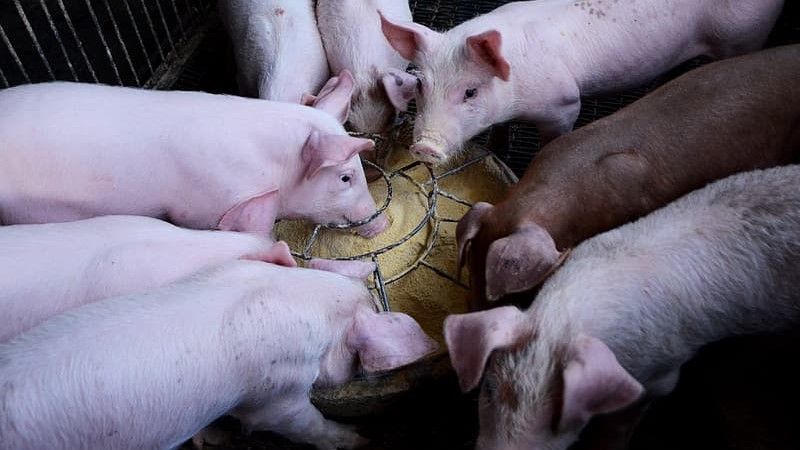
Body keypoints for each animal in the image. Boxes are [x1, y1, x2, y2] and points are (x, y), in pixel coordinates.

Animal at [380, 0, 784, 164]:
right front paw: (496, 147)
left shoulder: (564, 105)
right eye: (421, 87)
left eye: (470, 91)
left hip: (744, 36)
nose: (425, 147)